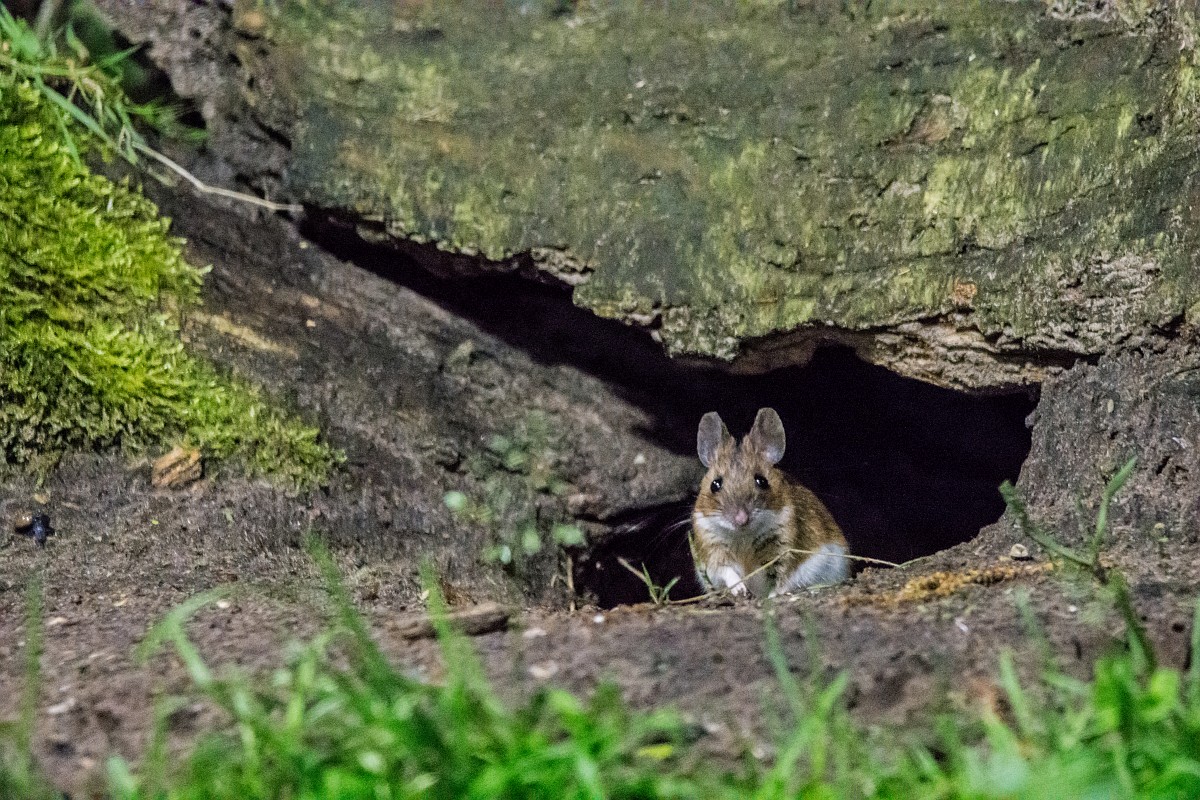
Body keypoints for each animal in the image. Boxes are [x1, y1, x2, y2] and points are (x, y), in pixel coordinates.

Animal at [691, 407, 849, 597]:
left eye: (762, 481)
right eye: (715, 484)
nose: (741, 519)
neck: (743, 535)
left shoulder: (784, 548)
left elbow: (780, 577)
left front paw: (772, 596)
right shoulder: (712, 548)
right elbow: (726, 570)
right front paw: (740, 590)